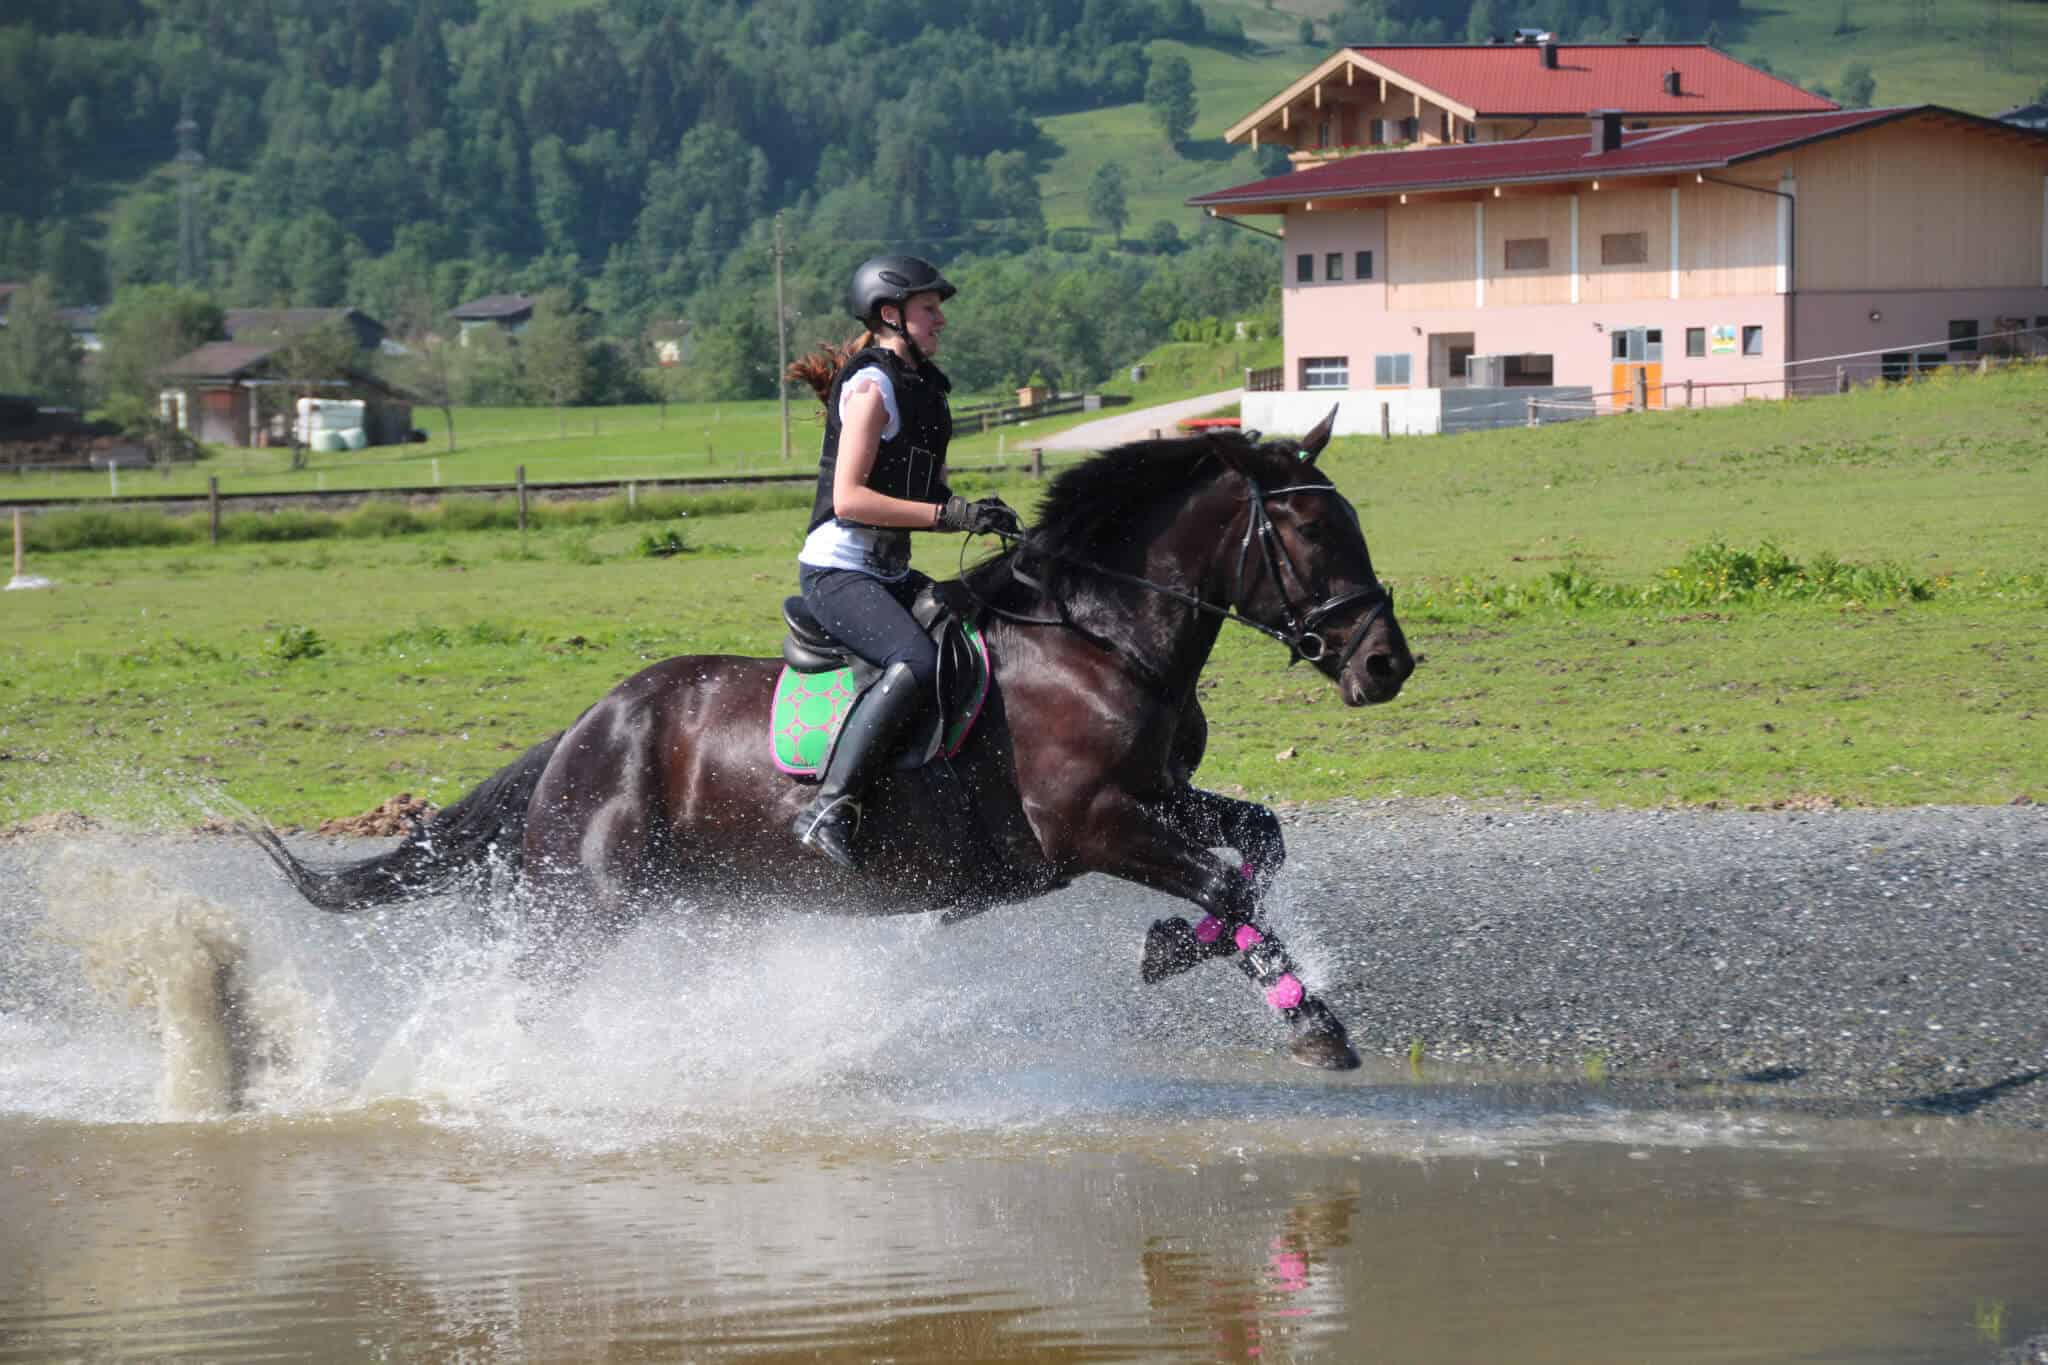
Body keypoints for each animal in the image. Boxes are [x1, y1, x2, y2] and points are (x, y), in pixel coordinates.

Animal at [247, 411, 1409, 1072]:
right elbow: (1224, 880)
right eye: (1313, 530)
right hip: (584, 911)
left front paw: (1186, 953)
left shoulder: (1160, 793)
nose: (1387, 664)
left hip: (697, 905)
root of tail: (588, 727)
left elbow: (1257, 846)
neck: (1098, 637)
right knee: (529, 1003)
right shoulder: (1094, 825)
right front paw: (1305, 1020)